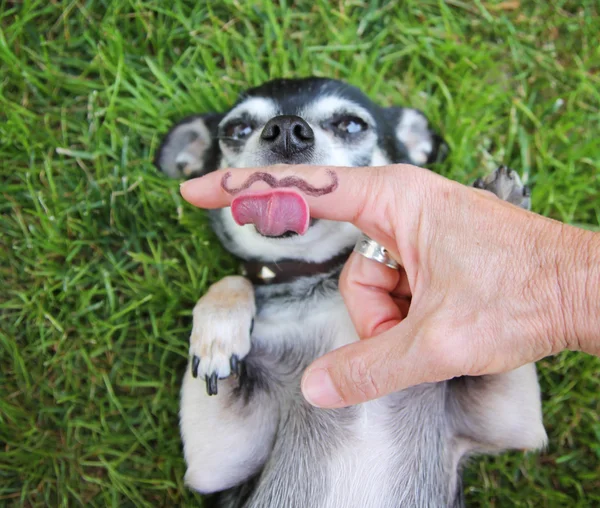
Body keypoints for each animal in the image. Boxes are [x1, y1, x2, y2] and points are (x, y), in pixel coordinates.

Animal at [156, 77, 548, 506]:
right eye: (238, 130)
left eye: (351, 124)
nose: (286, 129)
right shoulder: (220, 460)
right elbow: (233, 279)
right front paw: (216, 340)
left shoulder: (507, 419)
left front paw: (496, 208)